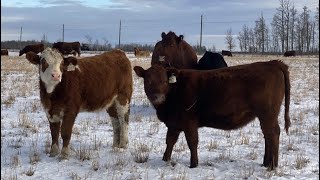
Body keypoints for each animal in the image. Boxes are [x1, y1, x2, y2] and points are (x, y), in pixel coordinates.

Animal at [134, 60, 292, 170]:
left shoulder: (189, 122)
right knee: (267, 135)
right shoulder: (174, 123)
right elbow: (170, 141)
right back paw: (266, 163)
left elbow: (192, 142)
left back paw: (272, 166)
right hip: (265, 116)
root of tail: (272, 63)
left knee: (273, 134)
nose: (157, 97)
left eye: (164, 80)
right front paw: (165, 160)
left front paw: (193, 164)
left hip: (268, 114)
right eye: (148, 80)